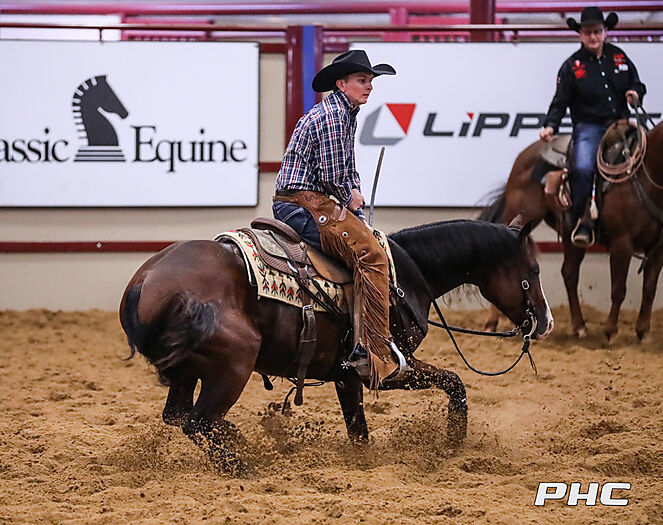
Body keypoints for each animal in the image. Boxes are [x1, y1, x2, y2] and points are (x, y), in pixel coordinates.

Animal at [119, 217, 554, 473]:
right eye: (532, 271)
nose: (546, 322)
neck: (407, 273)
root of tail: (145, 281)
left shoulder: (347, 376)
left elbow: (358, 430)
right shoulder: (388, 367)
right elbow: (455, 383)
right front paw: (453, 442)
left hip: (190, 371)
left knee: (179, 416)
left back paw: (245, 441)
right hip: (233, 366)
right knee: (197, 421)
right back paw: (243, 463)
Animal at [480, 120, 663, 340]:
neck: (643, 177)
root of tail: (521, 158)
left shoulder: (658, 248)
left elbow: (649, 289)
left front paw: (643, 331)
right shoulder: (622, 242)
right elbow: (619, 289)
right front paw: (610, 331)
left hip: (569, 235)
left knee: (569, 274)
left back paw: (579, 326)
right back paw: (492, 322)